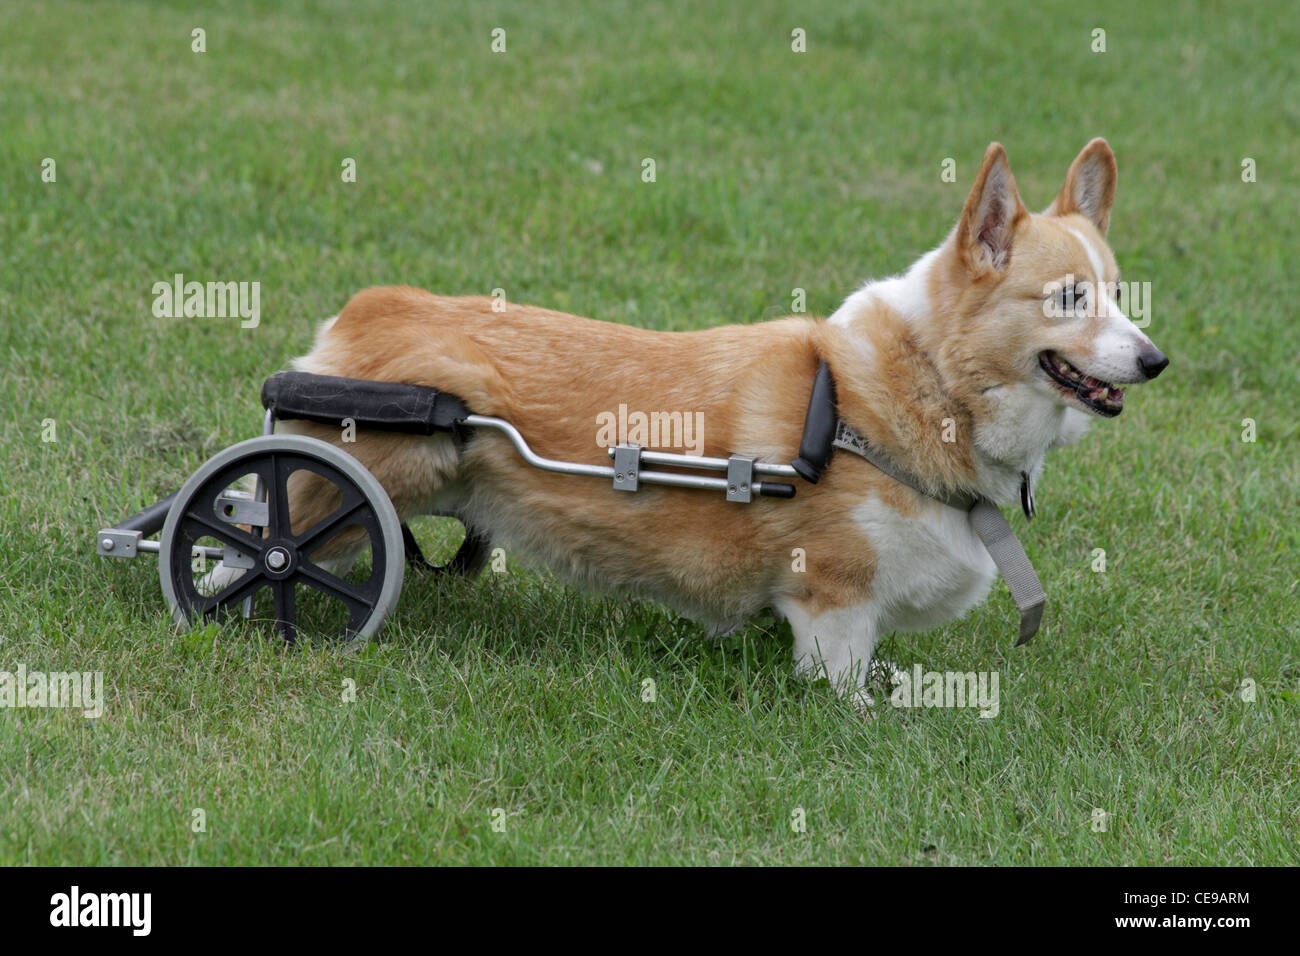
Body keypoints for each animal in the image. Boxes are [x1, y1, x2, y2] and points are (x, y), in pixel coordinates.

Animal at [258, 138, 1164, 702]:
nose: (1156, 361)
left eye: (1119, 292)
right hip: (354, 488)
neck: (921, 383)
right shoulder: (834, 599)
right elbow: (846, 683)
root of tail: (361, 313)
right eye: (1068, 298)